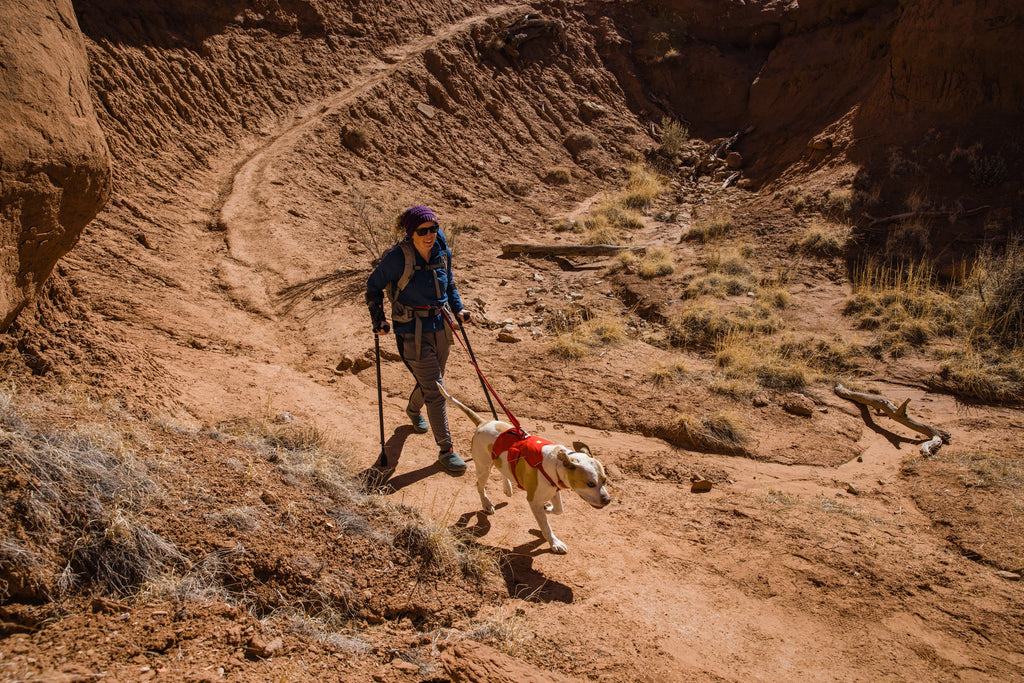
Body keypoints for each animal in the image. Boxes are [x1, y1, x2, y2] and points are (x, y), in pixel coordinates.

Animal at [438, 382, 610, 552]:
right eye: (590, 484)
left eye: (605, 480)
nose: (608, 500)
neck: (556, 463)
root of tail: (483, 423)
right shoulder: (534, 500)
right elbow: (546, 526)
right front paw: (554, 542)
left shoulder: (553, 489)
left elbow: (559, 510)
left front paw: (548, 509)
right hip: (483, 467)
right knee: (480, 486)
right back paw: (486, 503)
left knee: (503, 469)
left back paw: (507, 486)